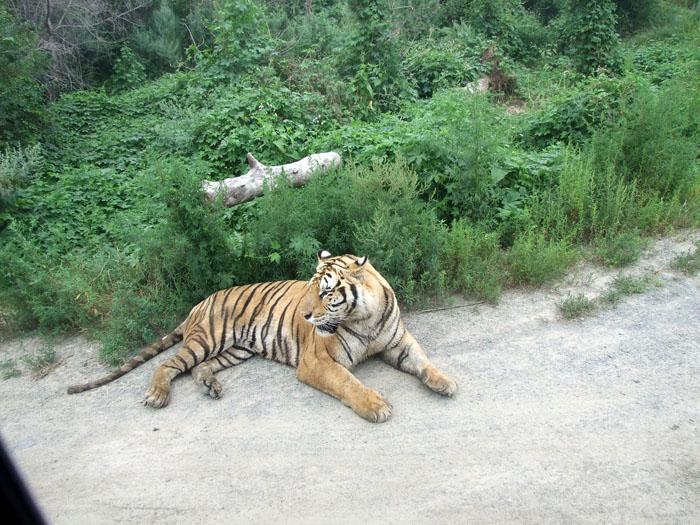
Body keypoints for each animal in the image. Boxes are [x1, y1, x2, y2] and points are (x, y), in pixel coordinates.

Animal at [67, 251, 457, 422]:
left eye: (326, 291)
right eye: (310, 287)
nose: (305, 314)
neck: (364, 316)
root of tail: (197, 304)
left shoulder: (398, 343)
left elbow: (423, 362)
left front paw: (445, 381)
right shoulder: (318, 361)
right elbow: (348, 383)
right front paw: (375, 405)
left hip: (237, 349)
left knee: (199, 368)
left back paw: (211, 385)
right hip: (207, 338)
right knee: (170, 364)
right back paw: (158, 394)